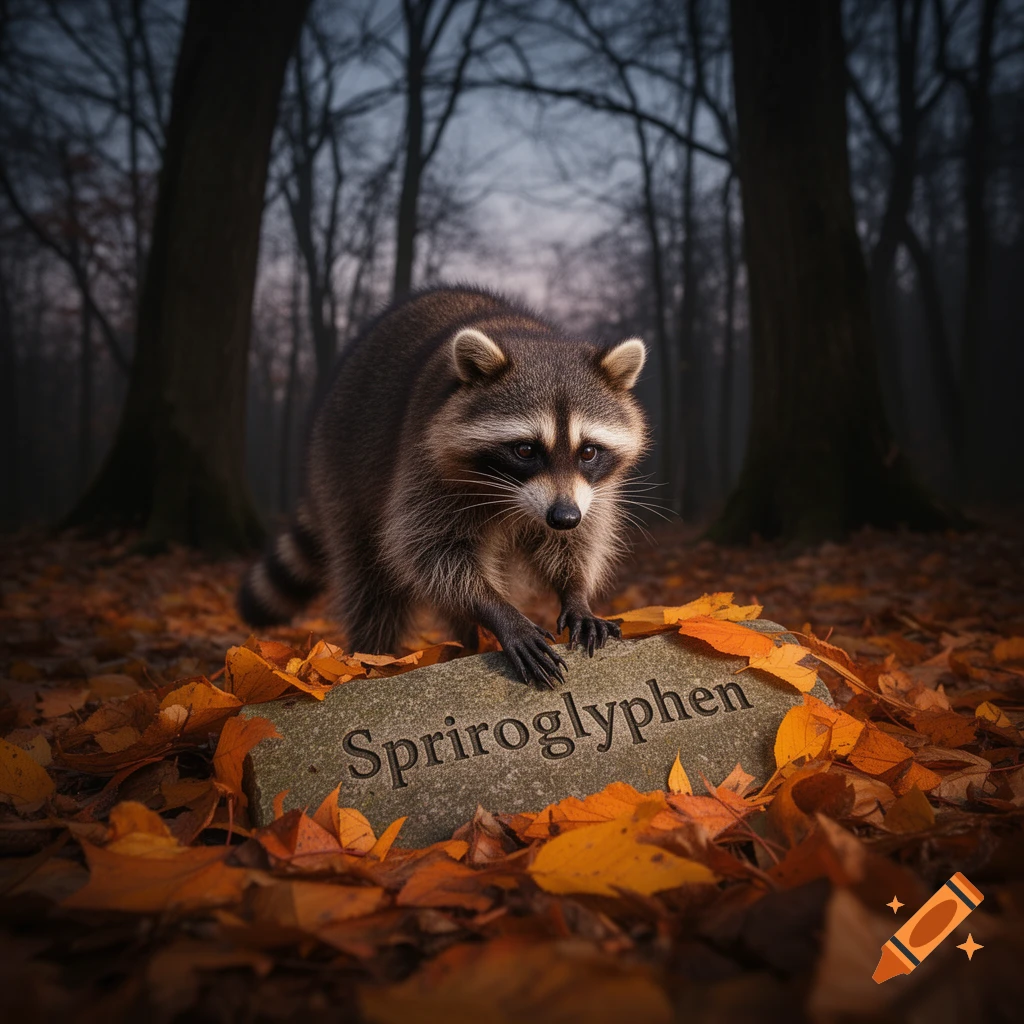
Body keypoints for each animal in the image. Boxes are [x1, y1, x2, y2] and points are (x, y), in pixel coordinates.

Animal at [238, 285, 649, 687]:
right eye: (525, 450)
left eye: (589, 452)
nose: (563, 517)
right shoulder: (425, 462)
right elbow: (430, 552)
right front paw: (498, 611)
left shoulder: (591, 493)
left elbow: (578, 541)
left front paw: (576, 591)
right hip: (343, 464)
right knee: (371, 581)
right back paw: (373, 658)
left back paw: (470, 641)